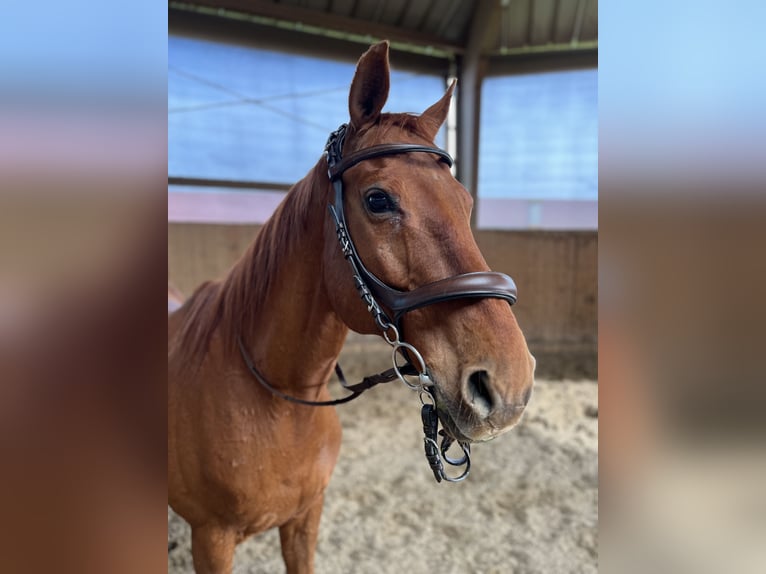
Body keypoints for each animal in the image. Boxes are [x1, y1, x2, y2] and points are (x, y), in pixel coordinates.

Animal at [171, 41, 536, 574]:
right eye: (378, 200)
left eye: (465, 202)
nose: (509, 385)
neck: (280, 402)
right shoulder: (212, 541)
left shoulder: (305, 520)